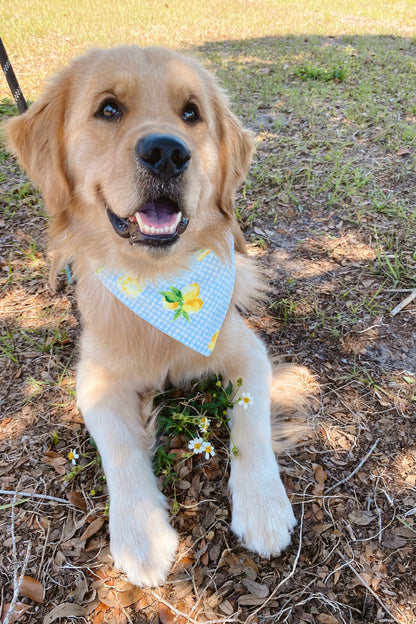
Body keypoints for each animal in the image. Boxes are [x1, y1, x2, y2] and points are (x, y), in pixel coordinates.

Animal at [8, 46, 298, 588]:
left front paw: (264, 507)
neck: (159, 284)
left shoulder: (247, 349)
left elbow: (251, 421)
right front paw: (141, 534)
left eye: (191, 113)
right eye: (108, 109)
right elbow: (120, 448)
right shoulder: (95, 378)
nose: (167, 152)